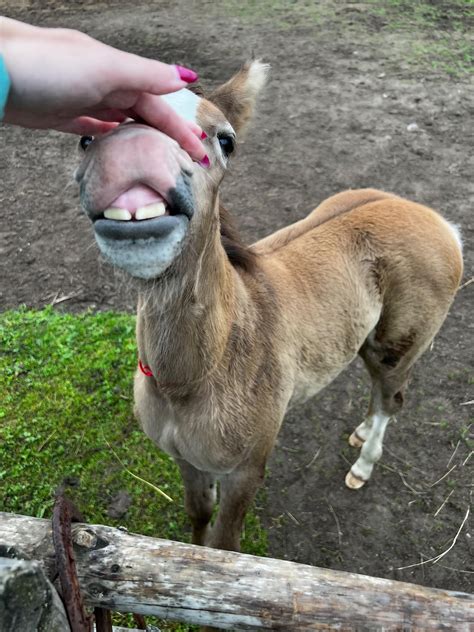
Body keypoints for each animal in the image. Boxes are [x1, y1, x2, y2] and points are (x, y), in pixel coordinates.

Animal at [78, 61, 462, 552]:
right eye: (87, 137)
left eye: (226, 139)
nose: (134, 156)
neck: (192, 380)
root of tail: (440, 223)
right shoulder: (185, 459)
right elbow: (198, 515)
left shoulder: (247, 469)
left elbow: (225, 545)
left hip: (396, 346)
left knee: (391, 397)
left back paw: (363, 466)